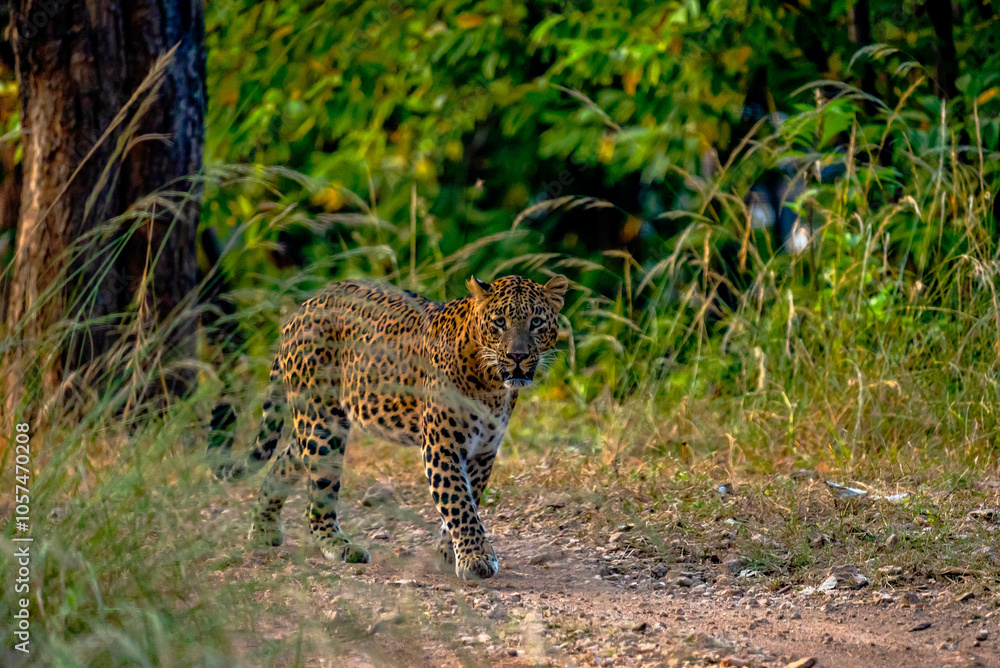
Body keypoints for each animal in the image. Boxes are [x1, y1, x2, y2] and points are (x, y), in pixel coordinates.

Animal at [207, 273, 569, 579]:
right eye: (500, 322)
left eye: (536, 322)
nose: (518, 356)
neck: (491, 384)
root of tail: (302, 308)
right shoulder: (442, 446)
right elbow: (459, 503)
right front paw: (475, 558)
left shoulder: (483, 451)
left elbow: (468, 500)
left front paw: (447, 554)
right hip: (321, 423)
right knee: (318, 497)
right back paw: (340, 547)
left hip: (320, 422)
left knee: (286, 459)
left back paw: (263, 529)